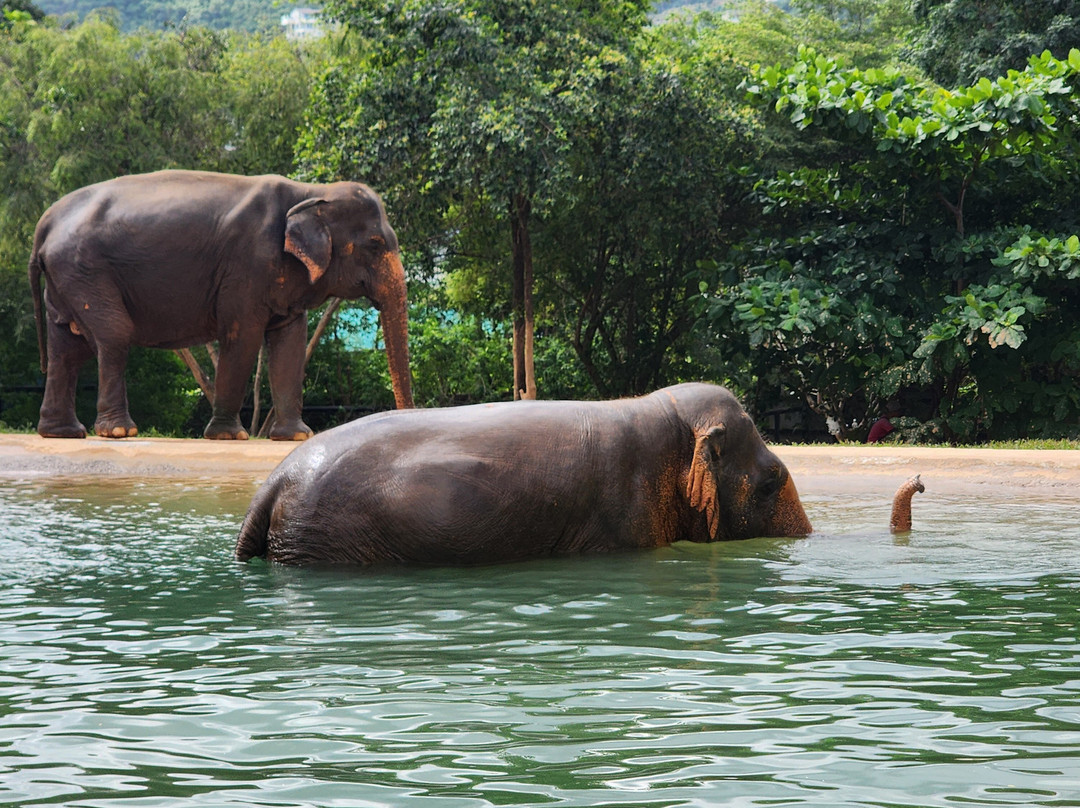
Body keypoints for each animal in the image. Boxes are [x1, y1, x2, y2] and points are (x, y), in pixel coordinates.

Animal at [28, 169, 413, 441]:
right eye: (376, 244)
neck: (311, 192)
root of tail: (46, 220)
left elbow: (290, 343)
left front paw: (296, 436)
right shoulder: (246, 264)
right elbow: (242, 337)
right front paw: (231, 435)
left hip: (66, 277)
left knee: (66, 349)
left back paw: (62, 433)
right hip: (84, 269)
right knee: (112, 335)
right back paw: (119, 432)